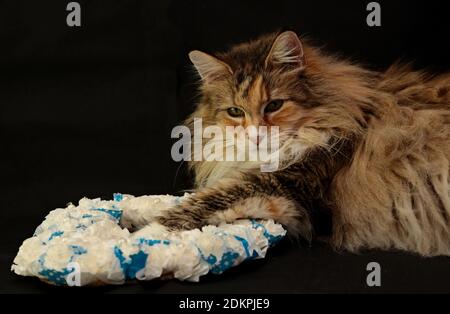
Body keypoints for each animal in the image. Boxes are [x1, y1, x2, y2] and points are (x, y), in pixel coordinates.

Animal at [156, 30, 450, 256]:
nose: (256, 135)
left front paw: (150, 230)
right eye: (235, 112)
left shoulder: (294, 189)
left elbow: (213, 199)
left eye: (274, 105)